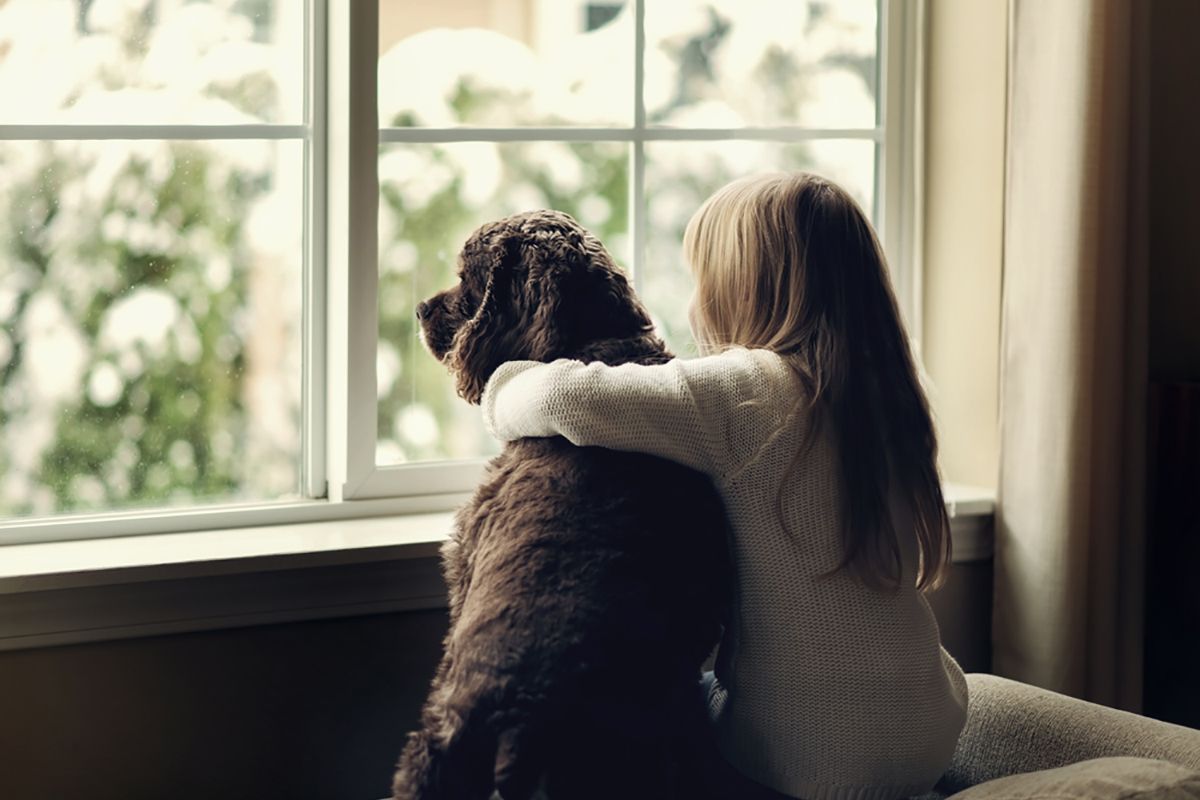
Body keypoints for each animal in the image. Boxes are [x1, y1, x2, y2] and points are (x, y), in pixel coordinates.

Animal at [393, 211, 729, 800]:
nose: (420, 309)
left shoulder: (463, 566)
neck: (597, 345)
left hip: (432, 755)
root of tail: (525, 716)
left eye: (467, 278)